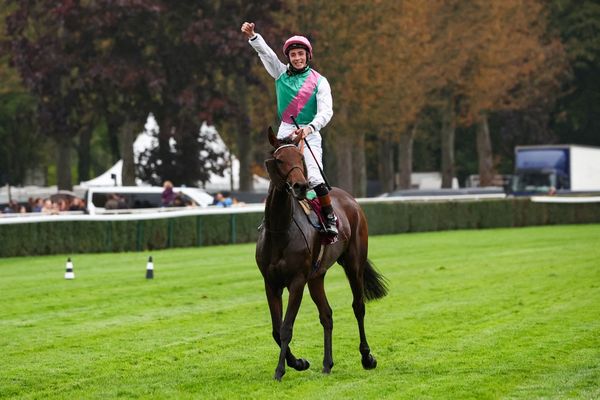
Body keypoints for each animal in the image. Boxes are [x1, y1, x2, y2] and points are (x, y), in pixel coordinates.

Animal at [254, 128, 390, 382]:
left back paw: (367, 357)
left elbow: (286, 327)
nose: (300, 185)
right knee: (326, 314)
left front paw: (281, 370)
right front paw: (298, 362)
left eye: (301, 158)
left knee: (358, 306)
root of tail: (351, 200)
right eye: (280, 160)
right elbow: (276, 330)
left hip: (353, 264)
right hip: (316, 277)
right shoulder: (271, 283)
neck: (281, 230)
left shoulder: (297, 281)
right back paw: (327, 364)